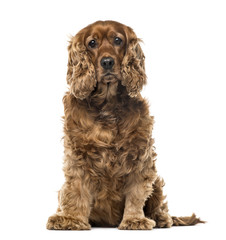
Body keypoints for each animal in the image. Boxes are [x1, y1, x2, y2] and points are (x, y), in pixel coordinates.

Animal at [46, 21, 203, 231]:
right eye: (92, 43)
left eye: (117, 40)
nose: (107, 62)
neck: (107, 104)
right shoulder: (78, 155)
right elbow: (76, 189)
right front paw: (71, 219)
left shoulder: (139, 156)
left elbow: (136, 193)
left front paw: (134, 219)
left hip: (157, 181)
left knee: (159, 205)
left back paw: (161, 219)